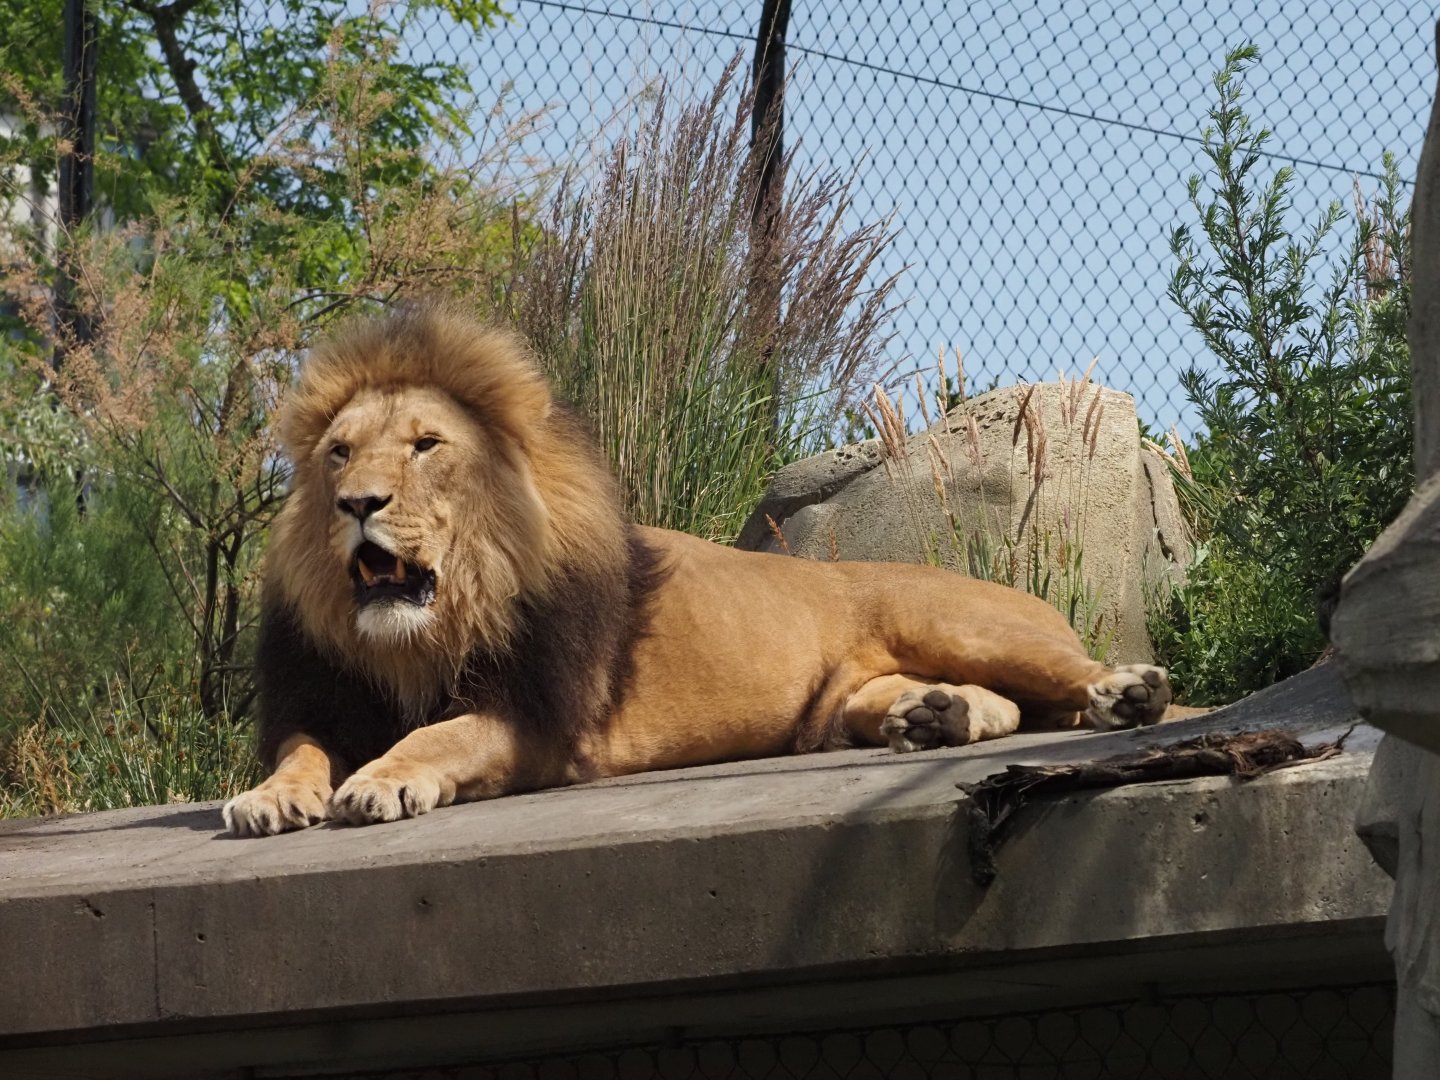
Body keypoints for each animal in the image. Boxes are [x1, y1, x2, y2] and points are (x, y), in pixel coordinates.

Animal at [222, 304, 1171, 836]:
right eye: (339, 453)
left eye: (425, 446)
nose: (358, 503)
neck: (417, 639)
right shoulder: (325, 697)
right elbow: (302, 752)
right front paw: (270, 796)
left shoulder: (538, 719)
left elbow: (438, 736)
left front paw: (381, 780)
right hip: (847, 699)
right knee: (984, 706)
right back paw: (935, 716)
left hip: (960, 623)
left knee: (1068, 677)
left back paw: (1126, 693)